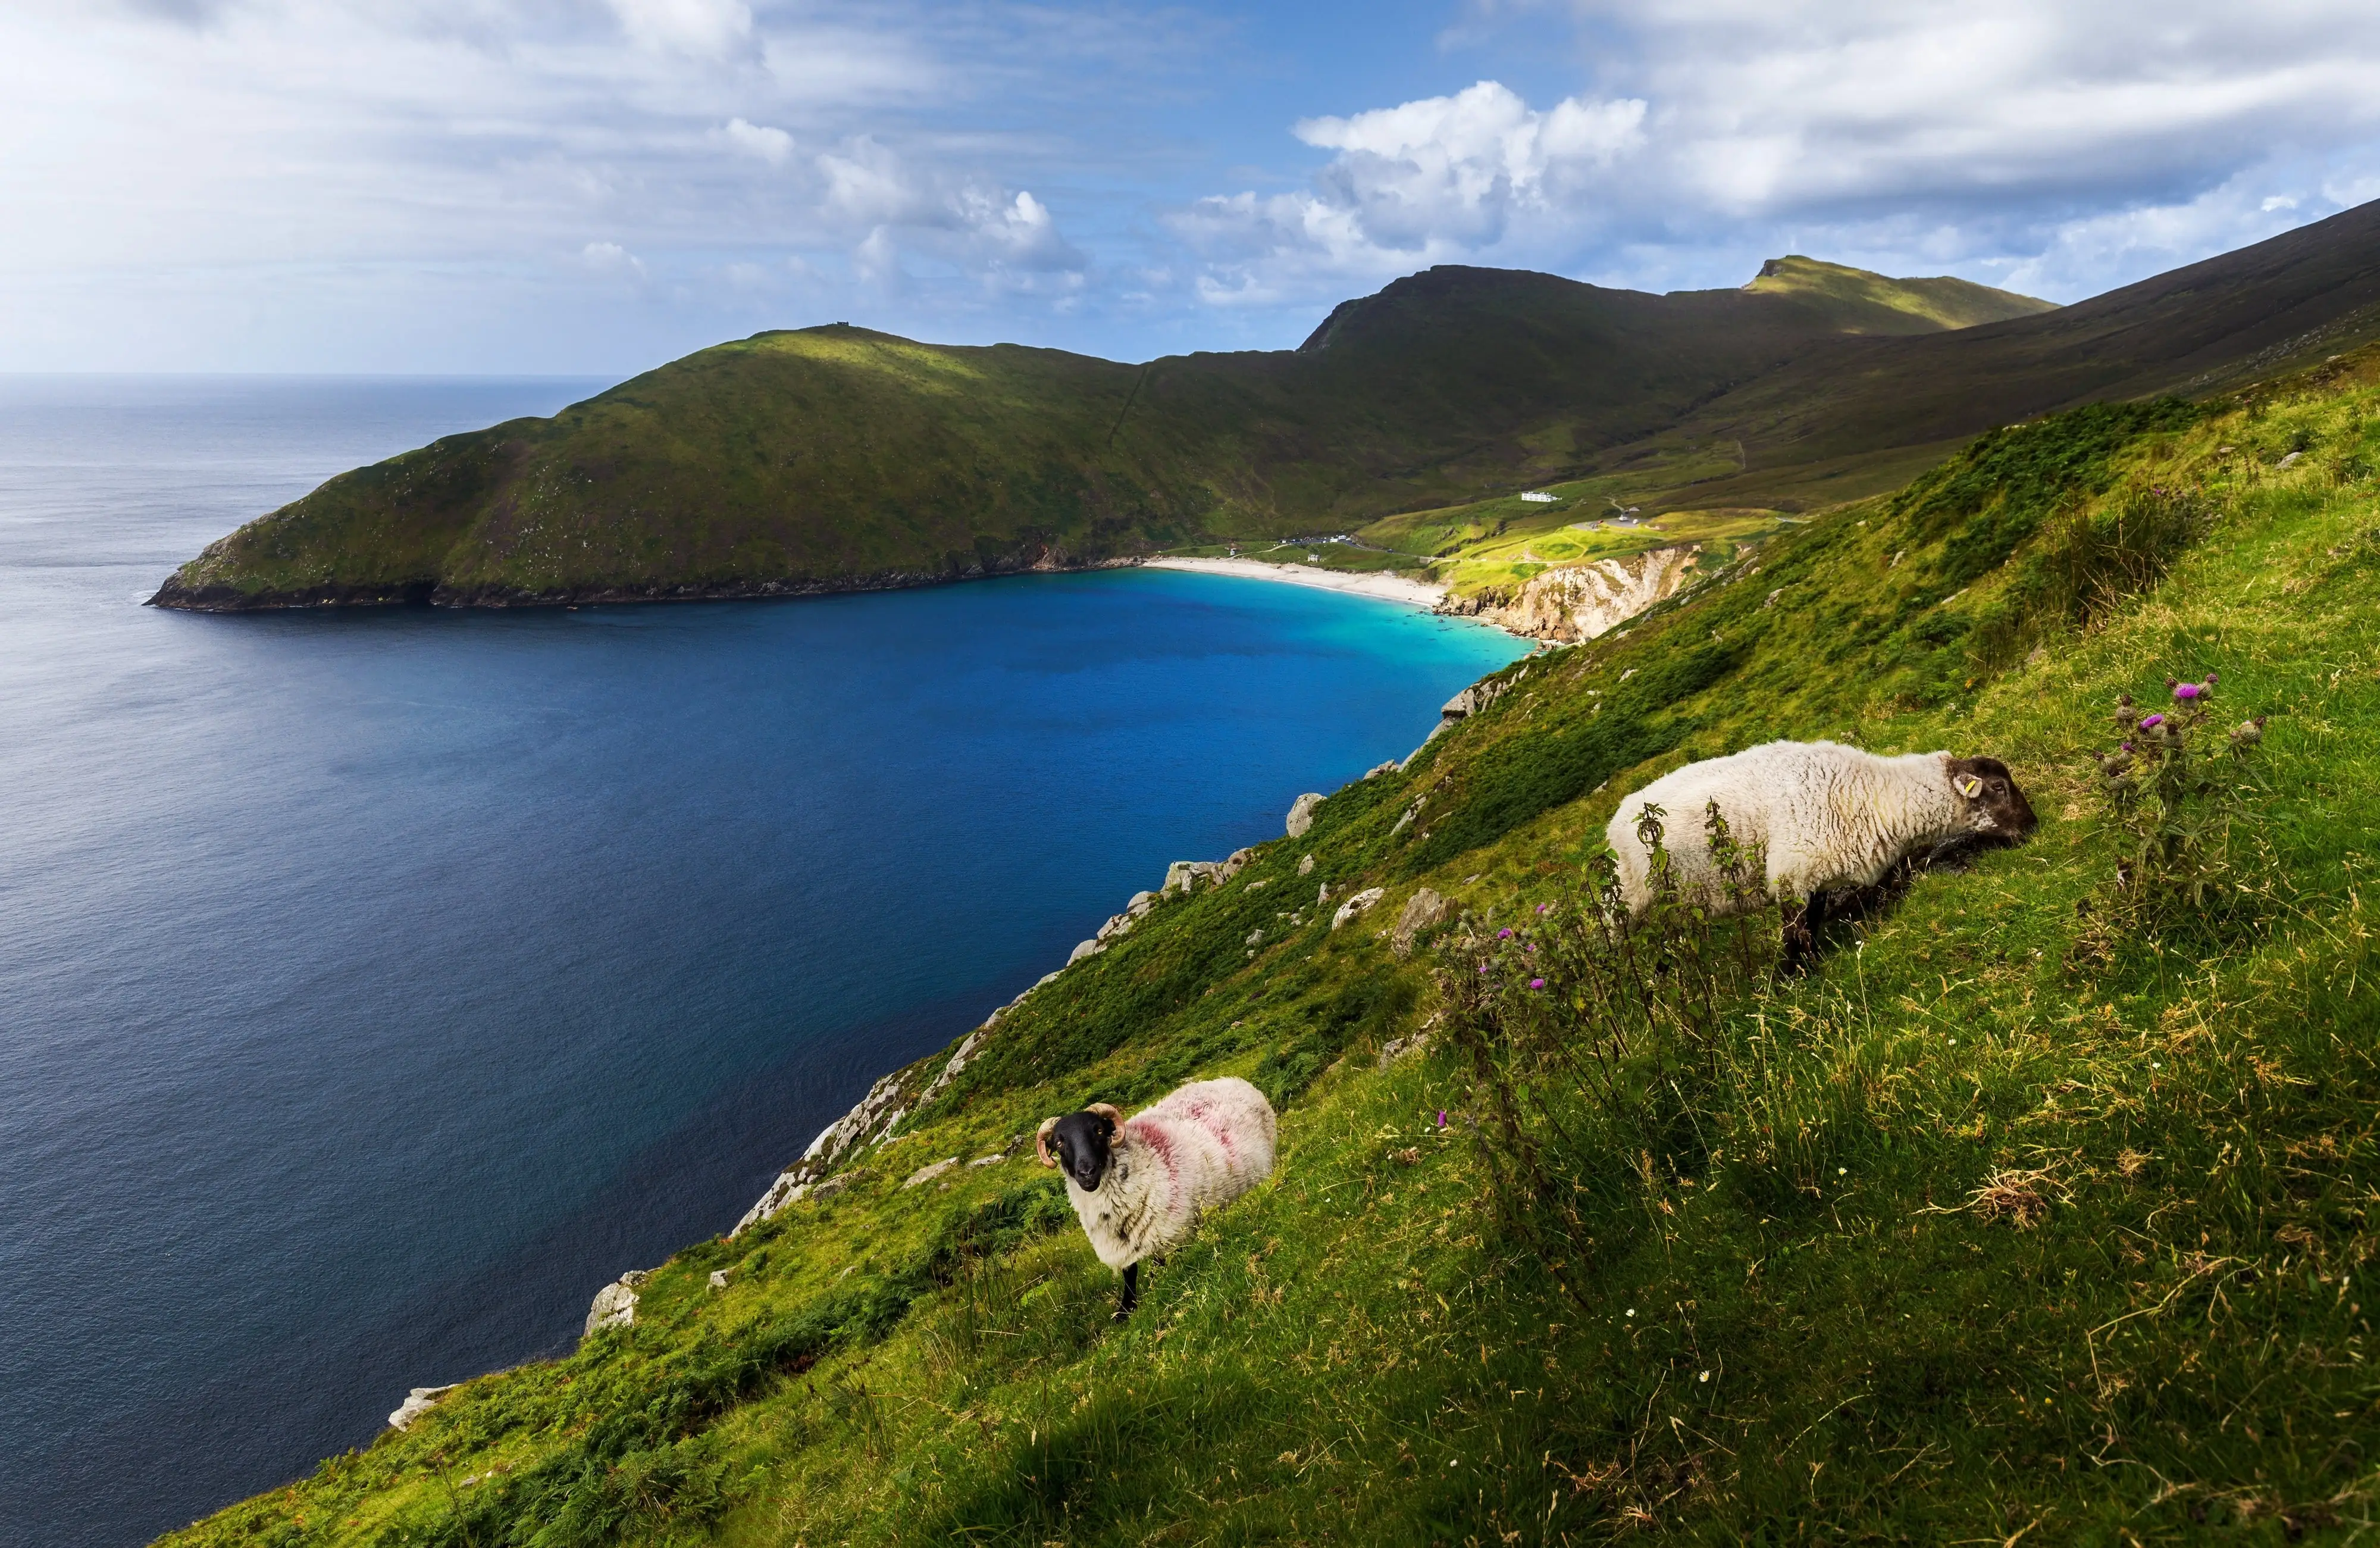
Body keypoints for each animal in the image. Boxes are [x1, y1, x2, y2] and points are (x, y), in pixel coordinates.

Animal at [1037, 1076, 1277, 1320]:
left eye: (1099, 1131)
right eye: (1059, 1143)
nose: (1087, 1173)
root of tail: (1234, 1080)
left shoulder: (1171, 1233)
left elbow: (1157, 1268)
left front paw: (1155, 1291)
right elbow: (1130, 1274)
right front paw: (1125, 1310)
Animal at [1606, 739, 2038, 968]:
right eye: (1999, 787)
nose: (2033, 826)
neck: (1871, 795)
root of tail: (1615, 820)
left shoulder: (1816, 879)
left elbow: (1811, 924)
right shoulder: (1792, 873)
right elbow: (1796, 934)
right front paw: (1797, 976)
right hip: (1627, 905)